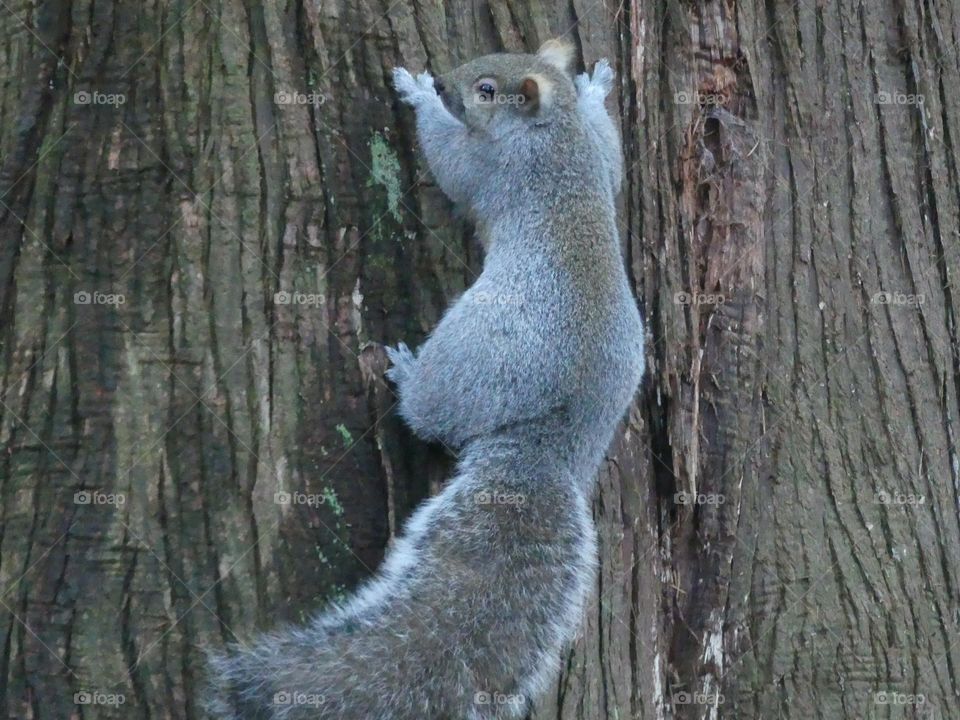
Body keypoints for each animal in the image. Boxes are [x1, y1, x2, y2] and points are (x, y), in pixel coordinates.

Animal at [207, 39, 645, 720]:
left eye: (487, 90)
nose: (444, 82)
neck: (554, 131)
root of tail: (558, 439)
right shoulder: (597, 156)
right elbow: (614, 156)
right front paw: (595, 86)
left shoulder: (494, 165)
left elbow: (450, 161)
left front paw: (415, 96)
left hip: (478, 352)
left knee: (436, 413)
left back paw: (408, 375)